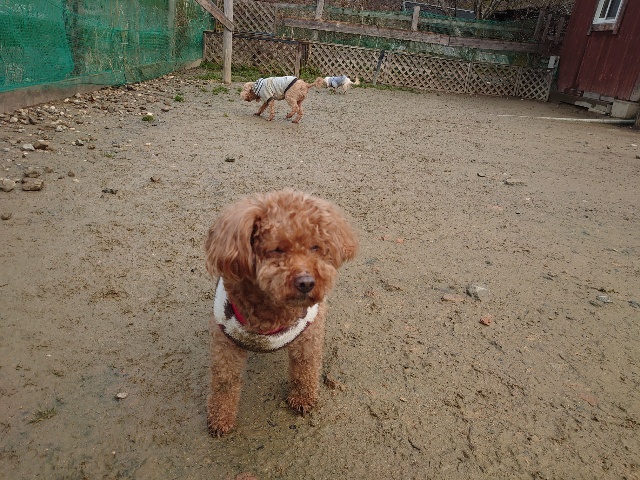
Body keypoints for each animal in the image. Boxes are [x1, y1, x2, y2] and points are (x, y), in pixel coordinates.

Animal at [204, 190, 358, 436]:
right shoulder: (224, 343)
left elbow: (305, 368)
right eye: (277, 249)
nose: (306, 282)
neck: (272, 313)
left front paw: (303, 399)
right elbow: (224, 382)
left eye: (315, 247)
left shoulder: (309, 337)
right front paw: (220, 419)